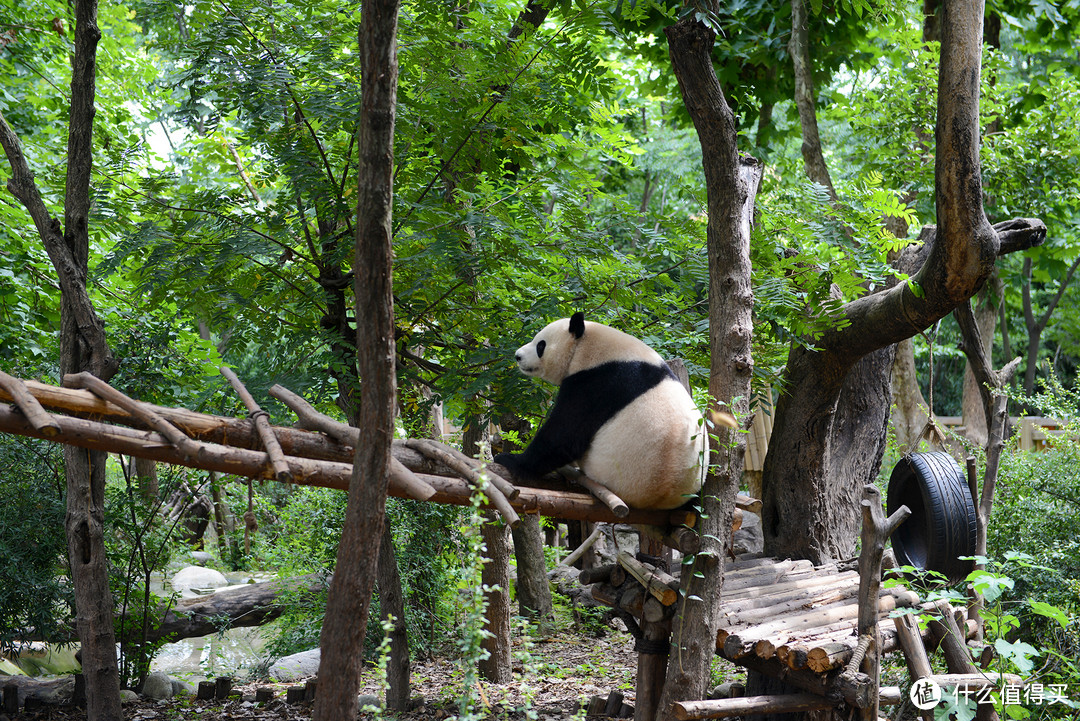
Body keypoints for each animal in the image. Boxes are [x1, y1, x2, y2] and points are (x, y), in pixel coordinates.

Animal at [494, 313, 712, 509]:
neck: (589, 347)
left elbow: (564, 436)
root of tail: (660, 500)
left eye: (541, 345)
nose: (518, 356)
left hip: (612, 473)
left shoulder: (597, 383)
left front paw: (510, 460)